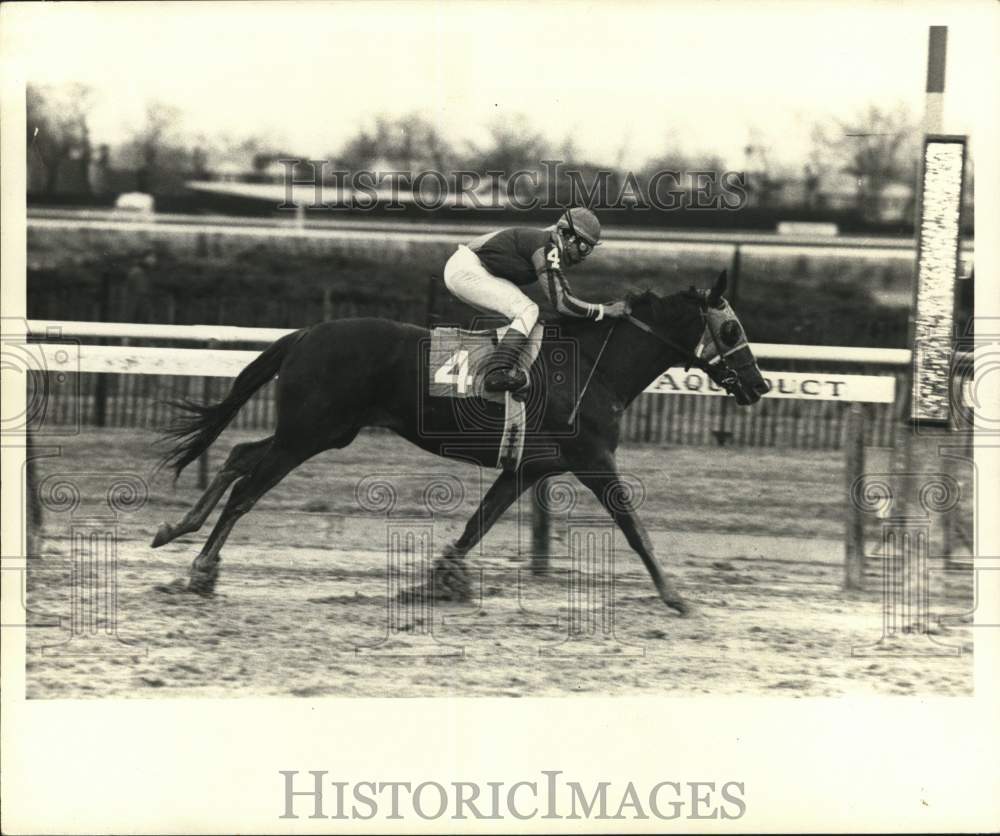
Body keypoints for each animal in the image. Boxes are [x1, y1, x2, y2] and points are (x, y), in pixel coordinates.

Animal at [152, 269, 769, 614]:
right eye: (732, 329)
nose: (759, 385)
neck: (595, 367)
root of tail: (306, 333)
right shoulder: (594, 459)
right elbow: (634, 528)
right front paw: (675, 595)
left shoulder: (527, 468)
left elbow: (478, 525)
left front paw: (438, 580)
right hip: (311, 431)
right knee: (248, 485)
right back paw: (201, 566)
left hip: (322, 430)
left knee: (238, 457)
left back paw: (178, 530)